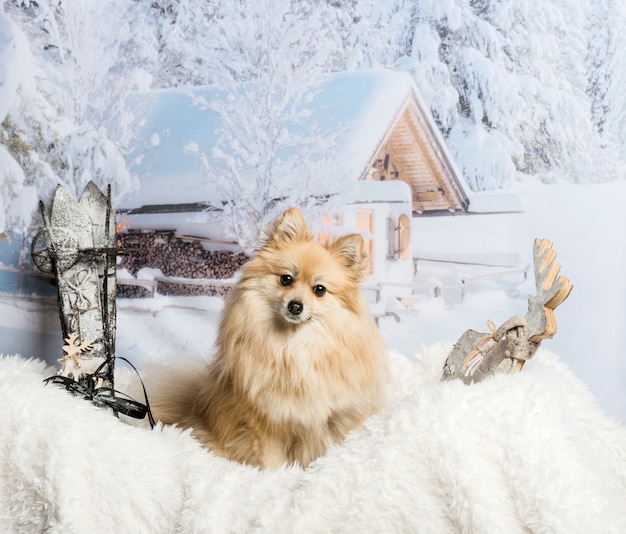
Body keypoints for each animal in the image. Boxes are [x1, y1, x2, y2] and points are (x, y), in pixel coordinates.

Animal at [148, 208, 388, 468]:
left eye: (320, 290)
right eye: (286, 279)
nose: (295, 305)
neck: (293, 344)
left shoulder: (328, 418)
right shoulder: (265, 419)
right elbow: (271, 460)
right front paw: (276, 476)